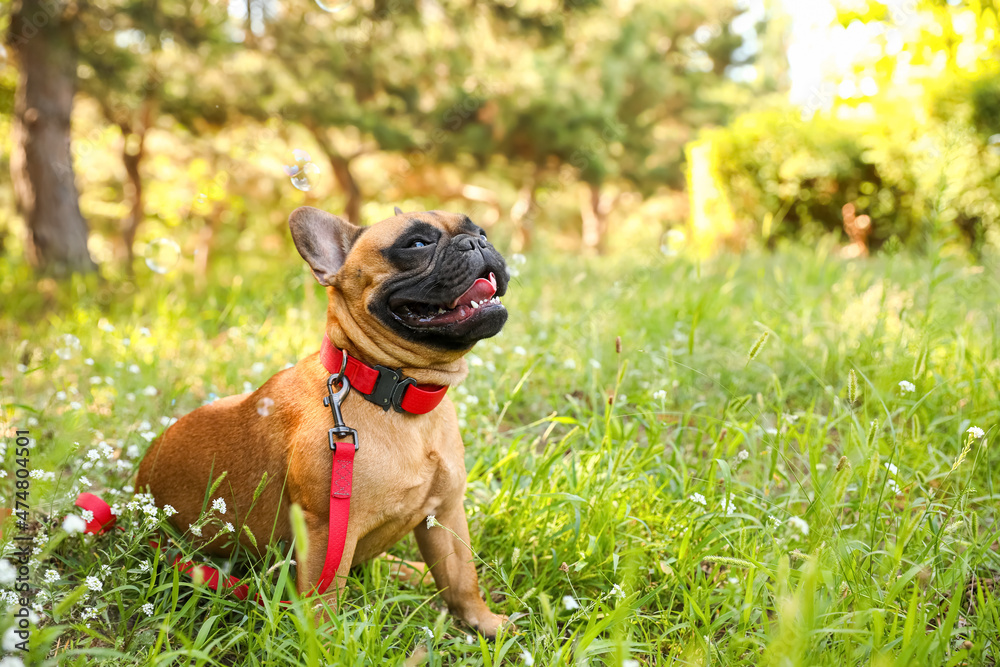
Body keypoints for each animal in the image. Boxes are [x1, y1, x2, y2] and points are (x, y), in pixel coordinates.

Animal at [136, 207, 508, 636]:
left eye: (482, 231)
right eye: (416, 243)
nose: (478, 242)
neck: (396, 392)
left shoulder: (446, 515)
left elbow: (462, 578)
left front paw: (486, 624)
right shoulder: (328, 530)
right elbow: (324, 601)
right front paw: (326, 643)